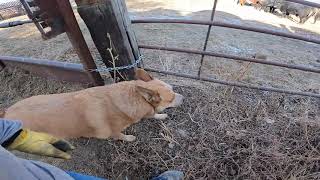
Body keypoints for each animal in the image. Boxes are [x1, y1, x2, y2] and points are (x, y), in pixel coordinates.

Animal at [1, 69, 182, 141]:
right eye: (171, 98)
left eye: (174, 90)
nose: (184, 97)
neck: (134, 97)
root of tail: (6, 113)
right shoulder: (114, 131)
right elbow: (121, 136)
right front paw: (129, 138)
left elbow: (154, 114)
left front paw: (161, 115)